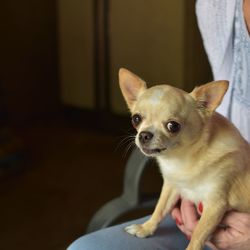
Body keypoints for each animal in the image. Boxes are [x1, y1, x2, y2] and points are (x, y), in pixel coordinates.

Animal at [118, 68, 250, 250]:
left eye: (173, 126)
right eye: (136, 119)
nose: (144, 135)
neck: (184, 158)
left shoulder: (215, 205)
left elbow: (197, 236)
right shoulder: (172, 186)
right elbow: (160, 209)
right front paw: (146, 228)